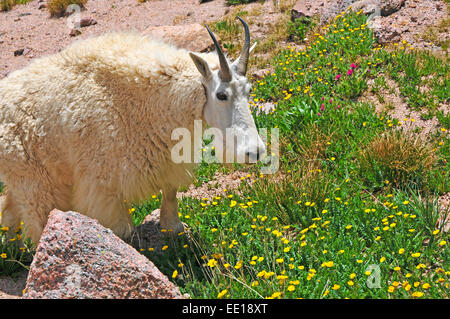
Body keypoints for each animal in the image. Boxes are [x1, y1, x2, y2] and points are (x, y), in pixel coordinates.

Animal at [0, 18, 266, 242]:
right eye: (221, 95)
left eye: (249, 90)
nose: (255, 152)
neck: (150, 95)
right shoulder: (104, 180)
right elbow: (122, 229)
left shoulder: (166, 156)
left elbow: (170, 193)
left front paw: (173, 227)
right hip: (33, 180)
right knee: (37, 218)